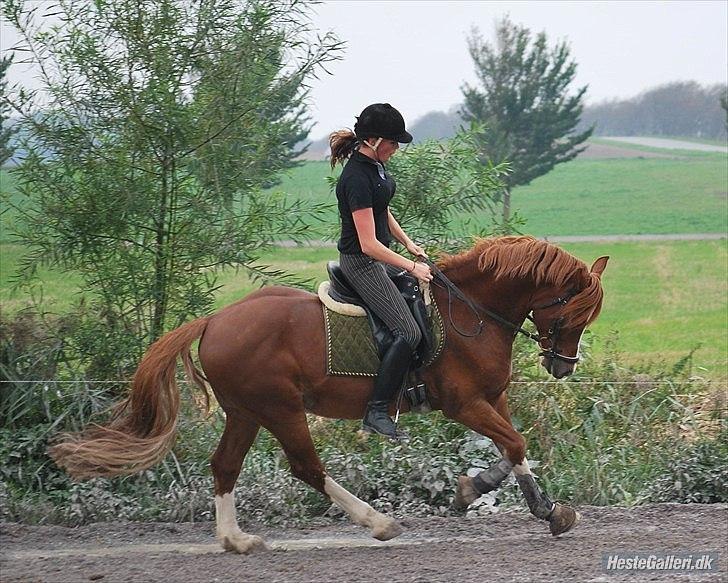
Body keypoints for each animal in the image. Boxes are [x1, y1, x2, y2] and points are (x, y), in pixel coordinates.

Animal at [49, 235, 608, 556]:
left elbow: (514, 448)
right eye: (571, 311)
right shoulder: (465, 404)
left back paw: (235, 539)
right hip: (279, 407)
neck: (471, 312)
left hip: (246, 411)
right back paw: (378, 523)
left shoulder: (494, 399)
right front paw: (518, 502)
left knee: (225, 465)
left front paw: (509, 499)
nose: (563, 366)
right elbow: (514, 444)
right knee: (306, 468)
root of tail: (215, 320)